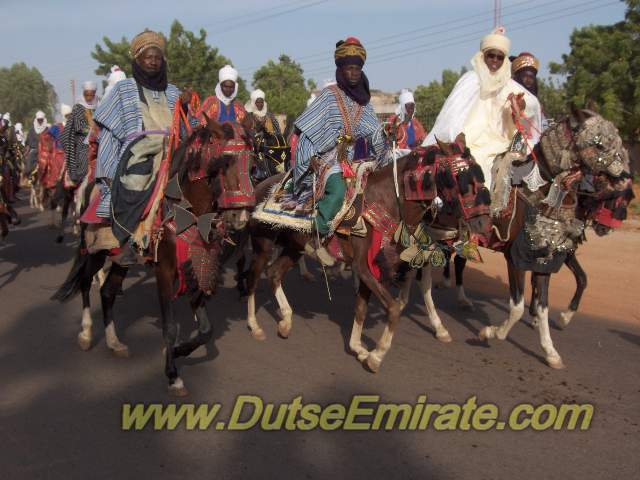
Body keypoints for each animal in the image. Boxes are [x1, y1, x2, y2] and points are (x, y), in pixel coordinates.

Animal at [245, 135, 492, 372]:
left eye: (481, 175)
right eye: (460, 177)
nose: (483, 222)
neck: (385, 201)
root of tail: (260, 186)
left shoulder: (370, 268)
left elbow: (362, 309)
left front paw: (358, 348)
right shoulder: (362, 266)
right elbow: (393, 309)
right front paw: (376, 356)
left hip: (294, 247)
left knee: (274, 273)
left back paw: (285, 321)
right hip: (263, 244)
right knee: (254, 277)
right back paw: (255, 326)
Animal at [478, 108, 634, 368]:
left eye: (628, 198)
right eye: (599, 144)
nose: (623, 177)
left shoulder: (549, 255)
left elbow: (551, 298)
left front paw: (550, 348)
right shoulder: (517, 258)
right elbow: (517, 306)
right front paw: (494, 332)